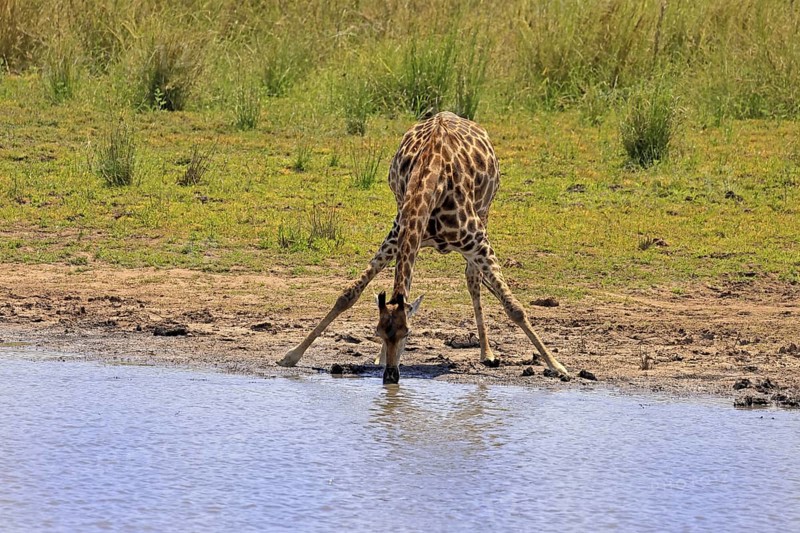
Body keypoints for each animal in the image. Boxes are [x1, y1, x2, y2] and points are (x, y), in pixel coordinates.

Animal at [277, 112, 569, 384]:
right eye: (377, 332)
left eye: (408, 333)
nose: (390, 376)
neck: (430, 180)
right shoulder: (396, 236)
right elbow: (348, 295)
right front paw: (292, 355)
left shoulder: (478, 242)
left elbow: (514, 307)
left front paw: (557, 366)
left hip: (485, 212)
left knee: (473, 278)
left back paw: (487, 352)